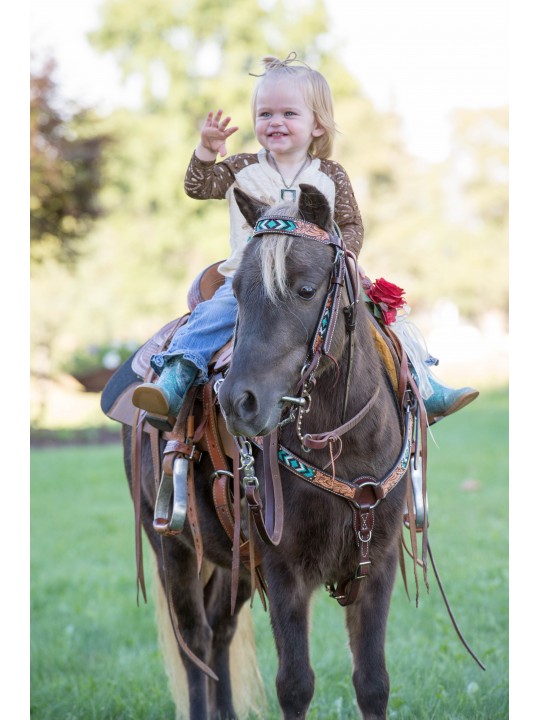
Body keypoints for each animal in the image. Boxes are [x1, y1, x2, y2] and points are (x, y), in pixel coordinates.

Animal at [122, 183, 418, 716]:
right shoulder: (284, 570)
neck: (345, 446)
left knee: (220, 631)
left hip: (234, 564)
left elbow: (373, 681)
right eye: (237, 292)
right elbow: (295, 683)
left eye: (305, 289)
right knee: (195, 641)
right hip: (173, 548)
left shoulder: (377, 563)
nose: (238, 401)